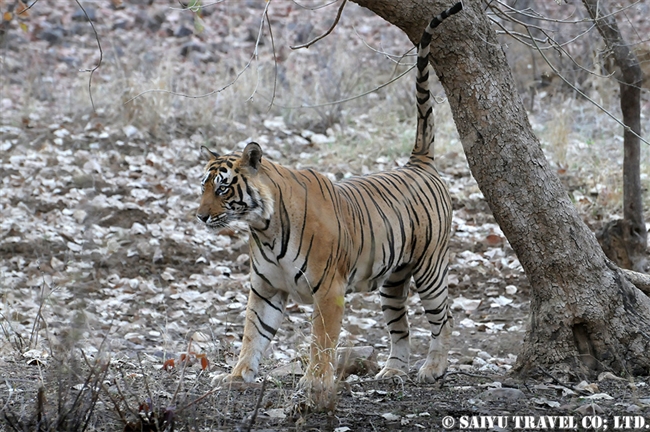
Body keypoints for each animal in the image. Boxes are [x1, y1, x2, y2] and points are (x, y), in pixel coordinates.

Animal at [195, 1, 458, 410]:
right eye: (204, 187)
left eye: (223, 189)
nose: (201, 215)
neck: (264, 227)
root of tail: (419, 162)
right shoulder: (265, 288)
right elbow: (253, 334)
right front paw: (238, 377)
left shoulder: (329, 289)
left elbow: (321, 340)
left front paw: (314, 383)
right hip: (392, 283)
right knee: (401, 326)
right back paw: (392, 372)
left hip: (430, 267)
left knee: (443, 318)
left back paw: (433, 369)